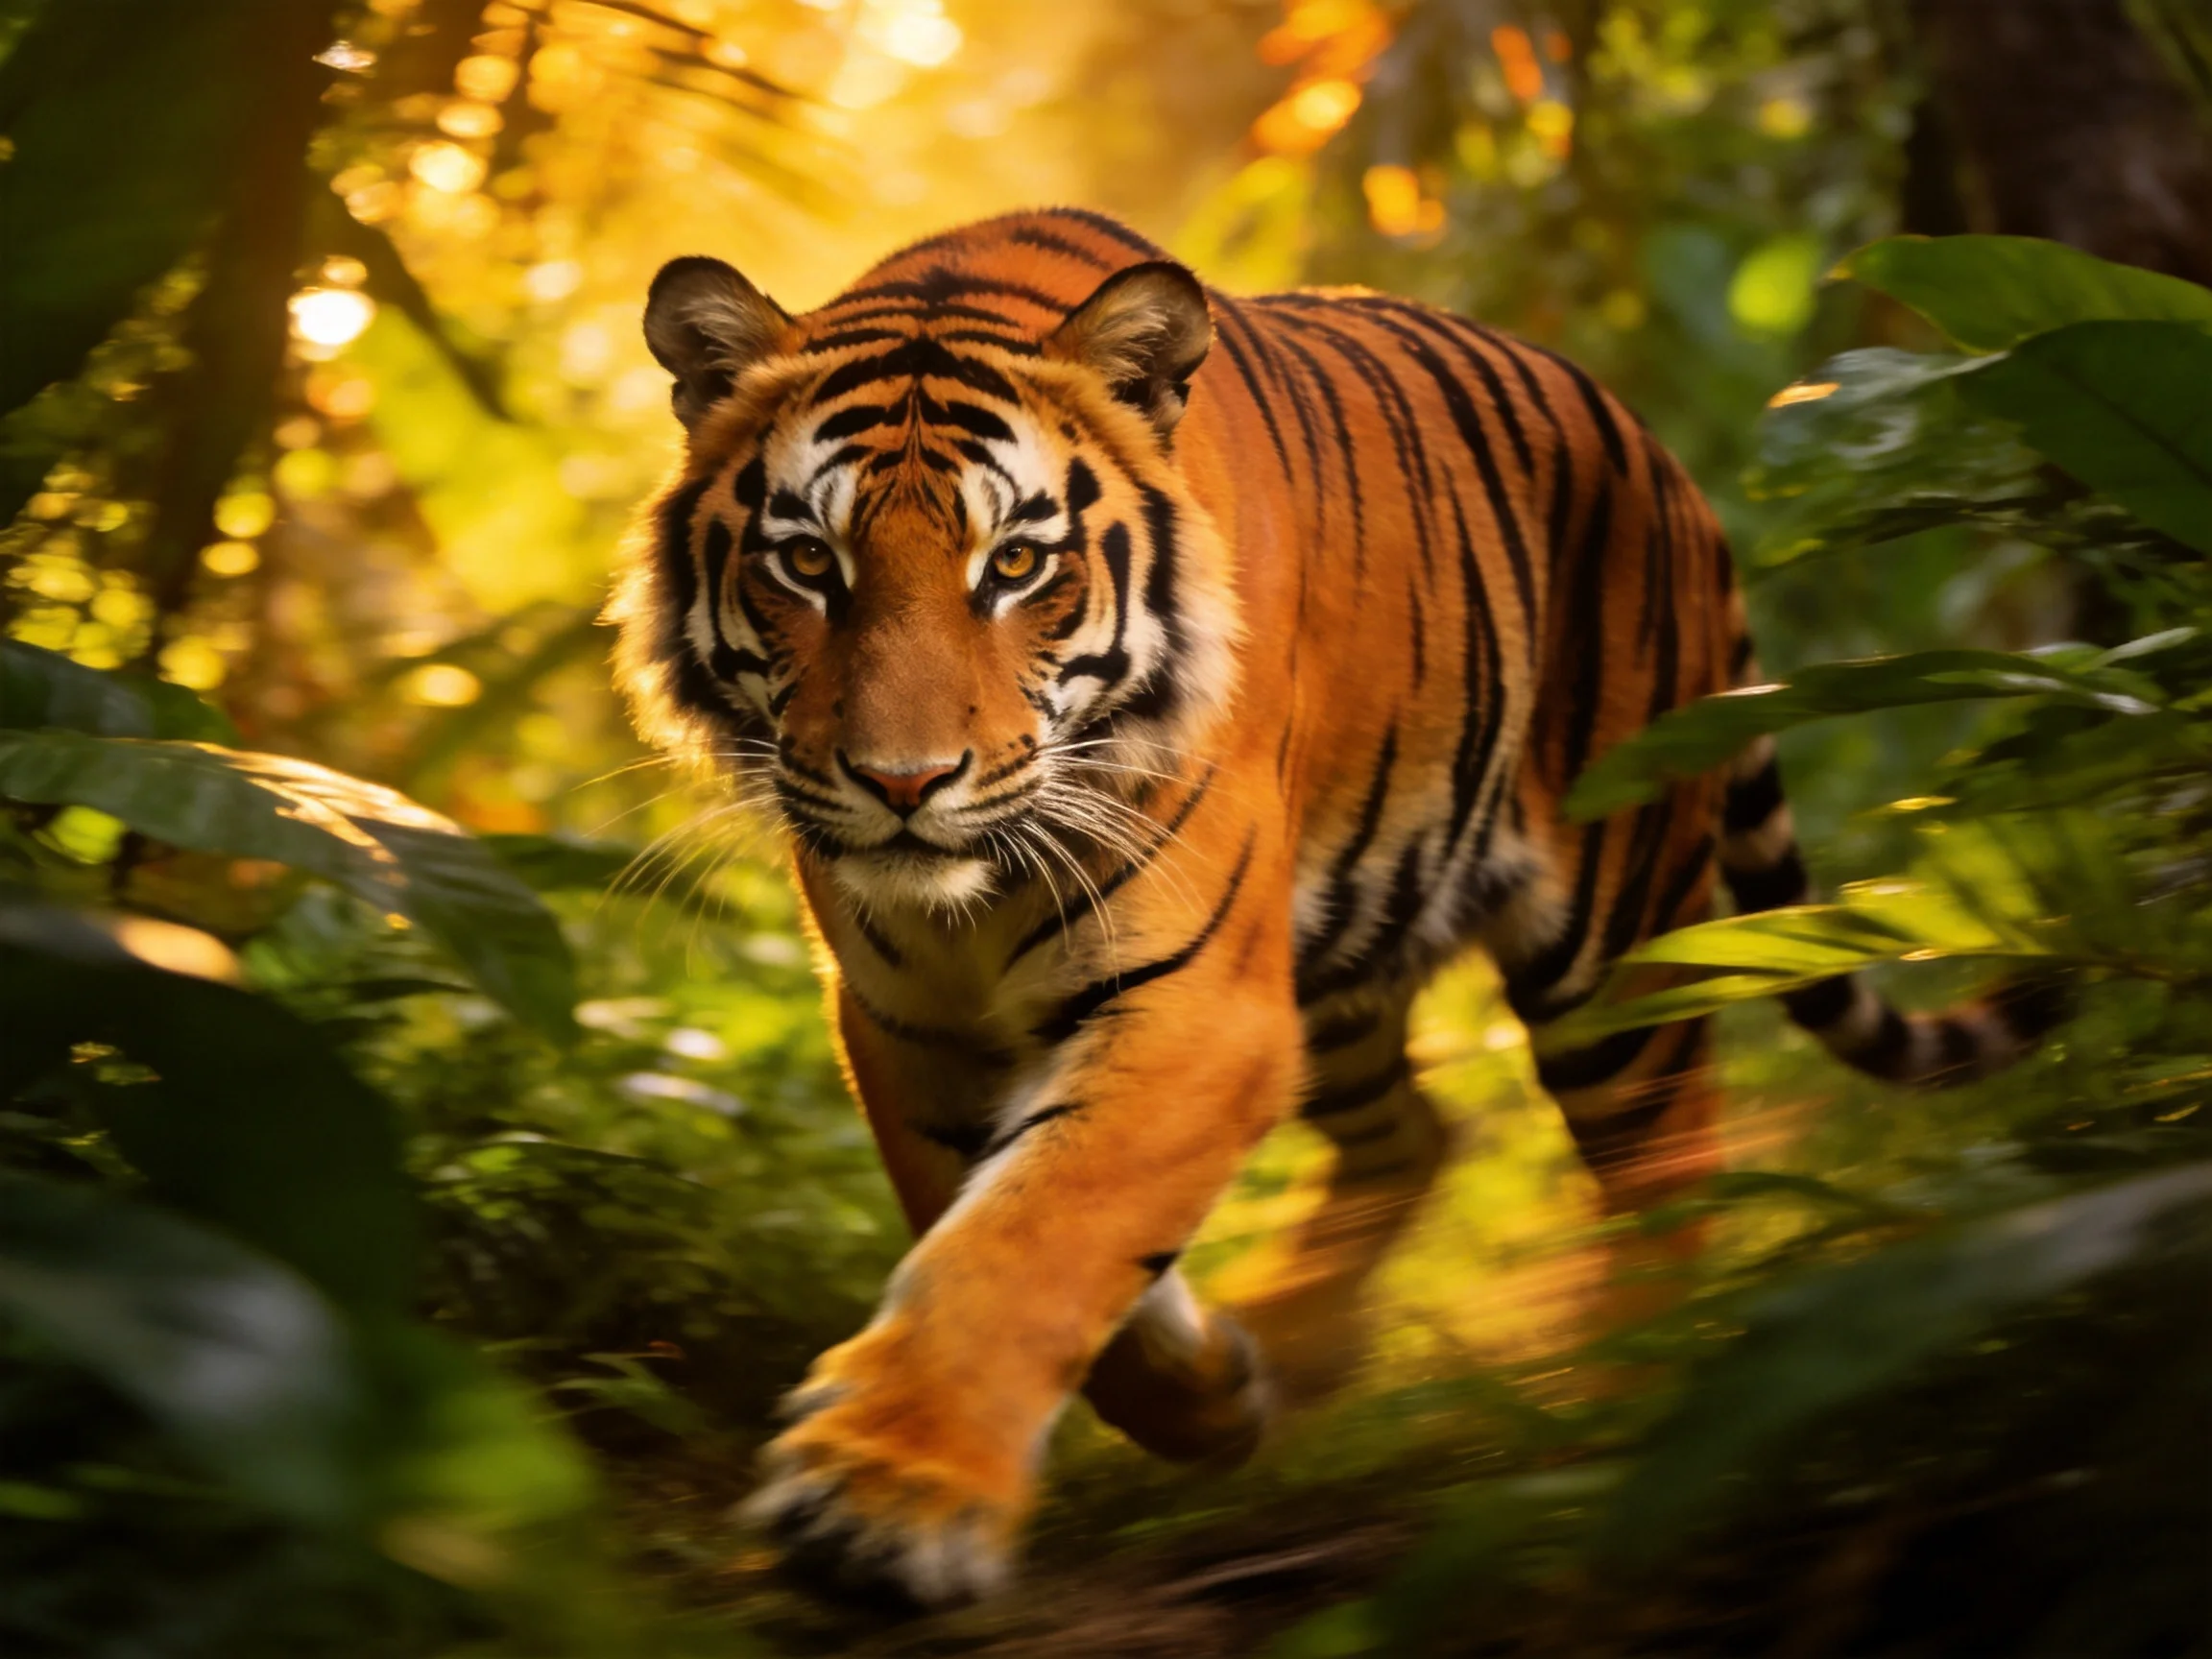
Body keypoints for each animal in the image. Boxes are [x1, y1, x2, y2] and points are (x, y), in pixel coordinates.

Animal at [609, 206, 2054, 1606]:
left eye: (1015, 564)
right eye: (809, 563)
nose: (904, 783)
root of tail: (1667, 463)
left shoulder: (1198, 1006)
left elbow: (1036, 1238)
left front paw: (885, 1496)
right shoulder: (912, 1021)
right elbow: (1008, 1226)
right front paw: (1209, 1393)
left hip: (1617, 948)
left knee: (1670, 1162)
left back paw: (1619, 1422)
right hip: (1349, 955)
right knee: (1415, 1133)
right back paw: (1302, 1344)